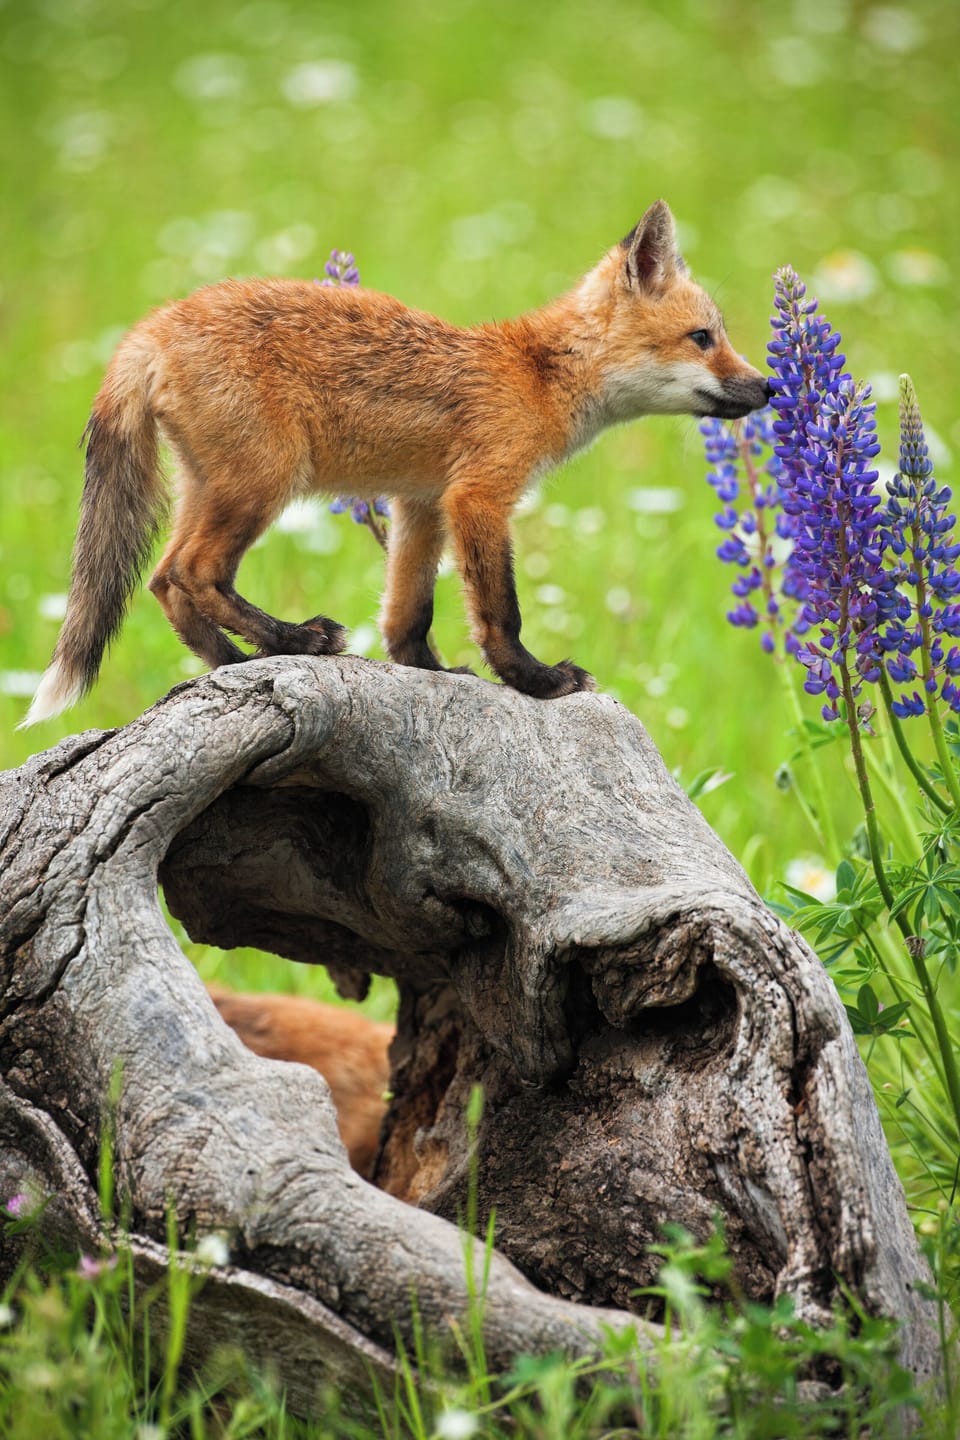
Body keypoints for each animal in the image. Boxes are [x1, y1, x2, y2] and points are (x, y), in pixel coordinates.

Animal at [22, 199, 769, 726]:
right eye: (703, 339)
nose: (769, 388)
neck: (538, 374)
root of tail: (156, 322)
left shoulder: (421, 503)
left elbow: (406, 613)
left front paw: (433, 674)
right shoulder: (479, 496)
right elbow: (500, 612)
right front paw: (535, 680)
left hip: (211, 488)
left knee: (163, 581)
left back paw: (231, 663)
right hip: (264, 483)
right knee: (193, 572)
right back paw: (292, 639)